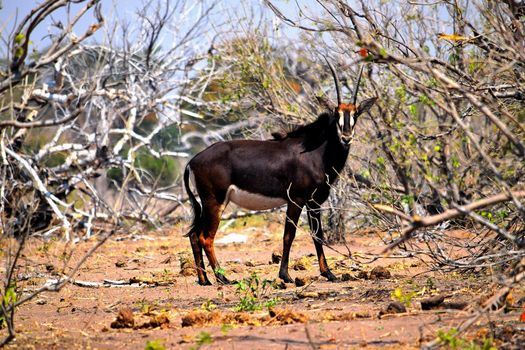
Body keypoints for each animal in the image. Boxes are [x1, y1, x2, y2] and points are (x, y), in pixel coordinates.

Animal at [182, 63, 374, 286]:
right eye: (336, 114)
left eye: (356, 114)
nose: (346, 137)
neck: (315, 152)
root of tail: (193, 161)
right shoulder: (296, 200)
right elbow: (289, 236)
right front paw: (285, 275)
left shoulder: (314, 202)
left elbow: (317, 235)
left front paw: (329, 273)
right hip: (215, 201)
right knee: (206, 237)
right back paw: (223, 277)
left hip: (206, 203)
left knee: (194, 235)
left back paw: (205, 279)